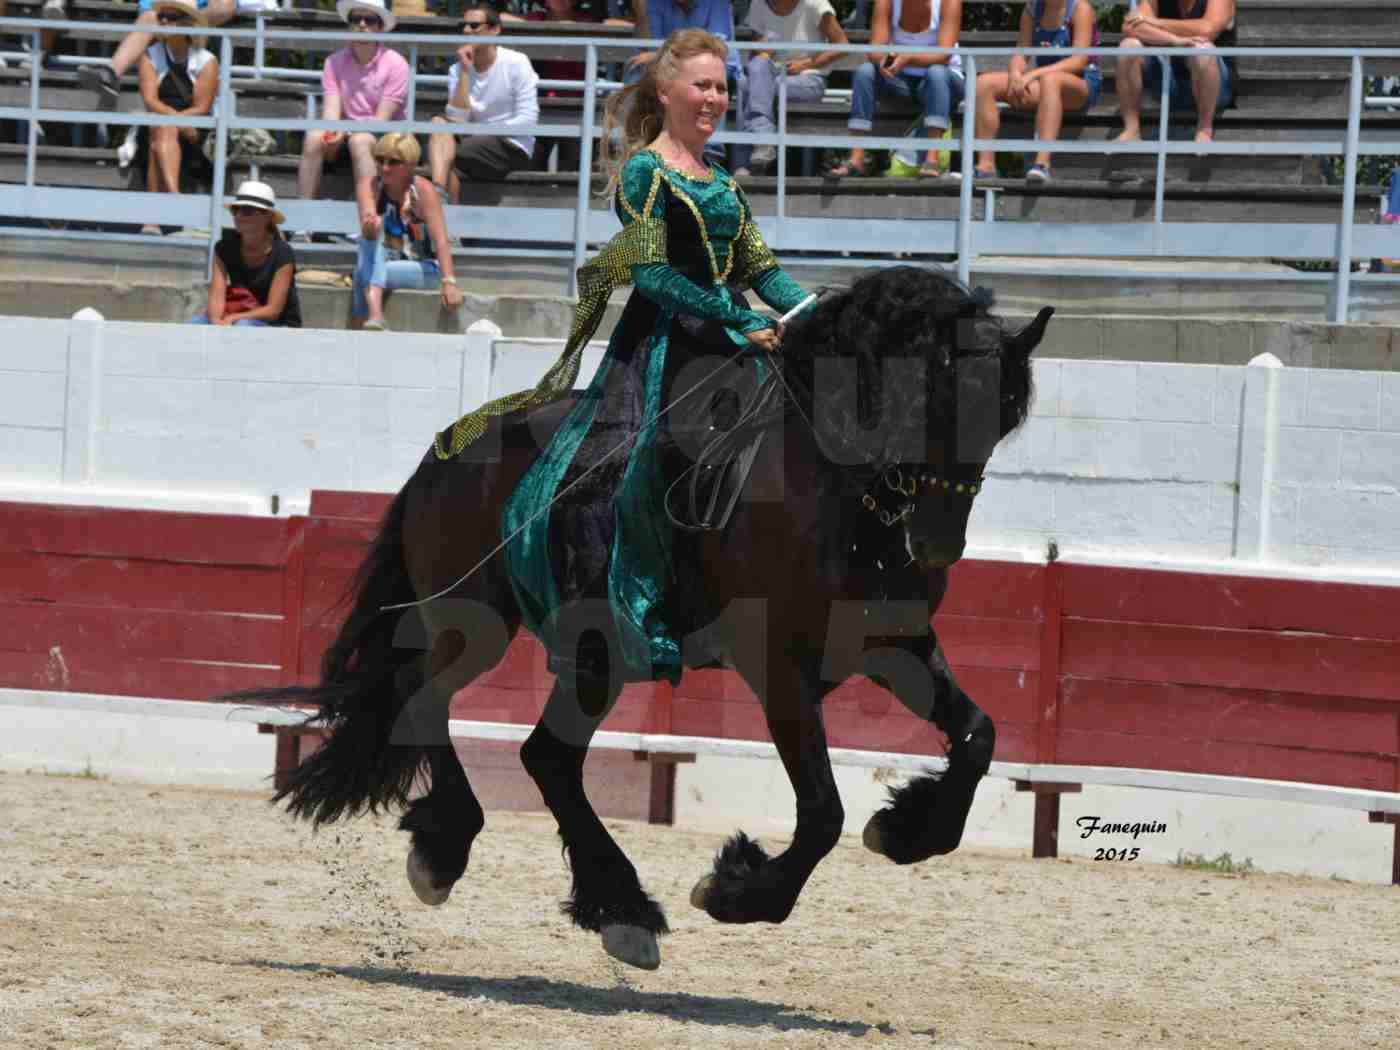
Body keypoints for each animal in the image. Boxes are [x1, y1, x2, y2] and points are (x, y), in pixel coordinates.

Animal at [232, 267, 1052, 974]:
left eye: (1003, 419)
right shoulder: (777, 667)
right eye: (926, 400)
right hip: (480, 627)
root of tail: (448, 448)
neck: (840, 496)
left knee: (546, 757)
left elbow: (977, 736)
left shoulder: (891, 644)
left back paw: (616, 911)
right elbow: (822, 810)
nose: (937, 543)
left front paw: (906, 831)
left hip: (596, 657)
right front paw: (735, 893)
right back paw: (454, 855)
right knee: (425, 703)